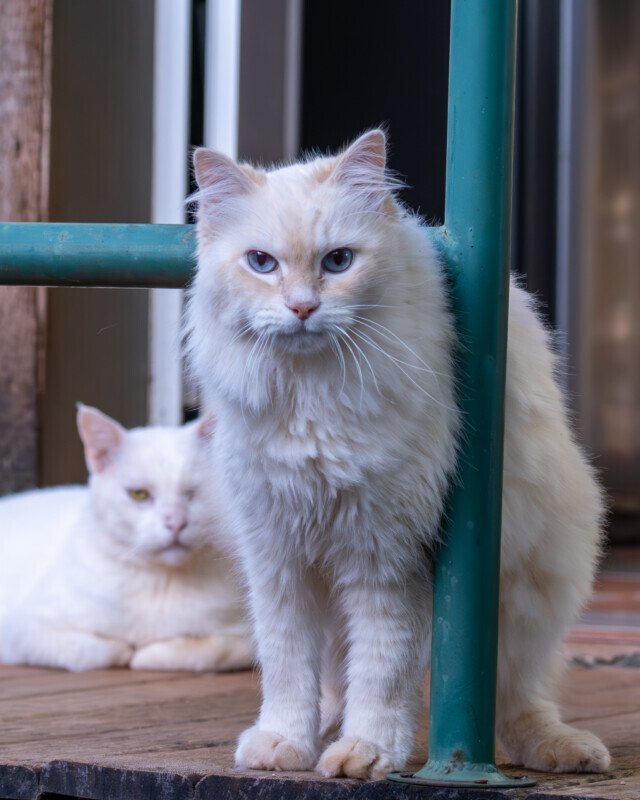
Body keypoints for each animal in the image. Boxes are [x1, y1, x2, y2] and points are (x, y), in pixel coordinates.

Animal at [0, 405, 253, 673]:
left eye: (192, 493)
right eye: (138, 494)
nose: (175, 522)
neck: (161, 584)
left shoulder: (248, 636)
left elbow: (209, 652)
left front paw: (149, 653)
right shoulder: (22, 630)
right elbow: (95, 652)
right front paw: (128, 650)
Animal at [186, 130, 610, 779]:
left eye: (338, 262)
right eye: (261, 264)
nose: (302, 308)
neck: (312, 398)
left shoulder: (386, 556)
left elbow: (383, 674)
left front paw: (364, 754)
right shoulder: (278, 555)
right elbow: (287, 668)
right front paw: (284, 746)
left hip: (530, 597)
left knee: (518, 696)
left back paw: (561, 750)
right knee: (335, 681)